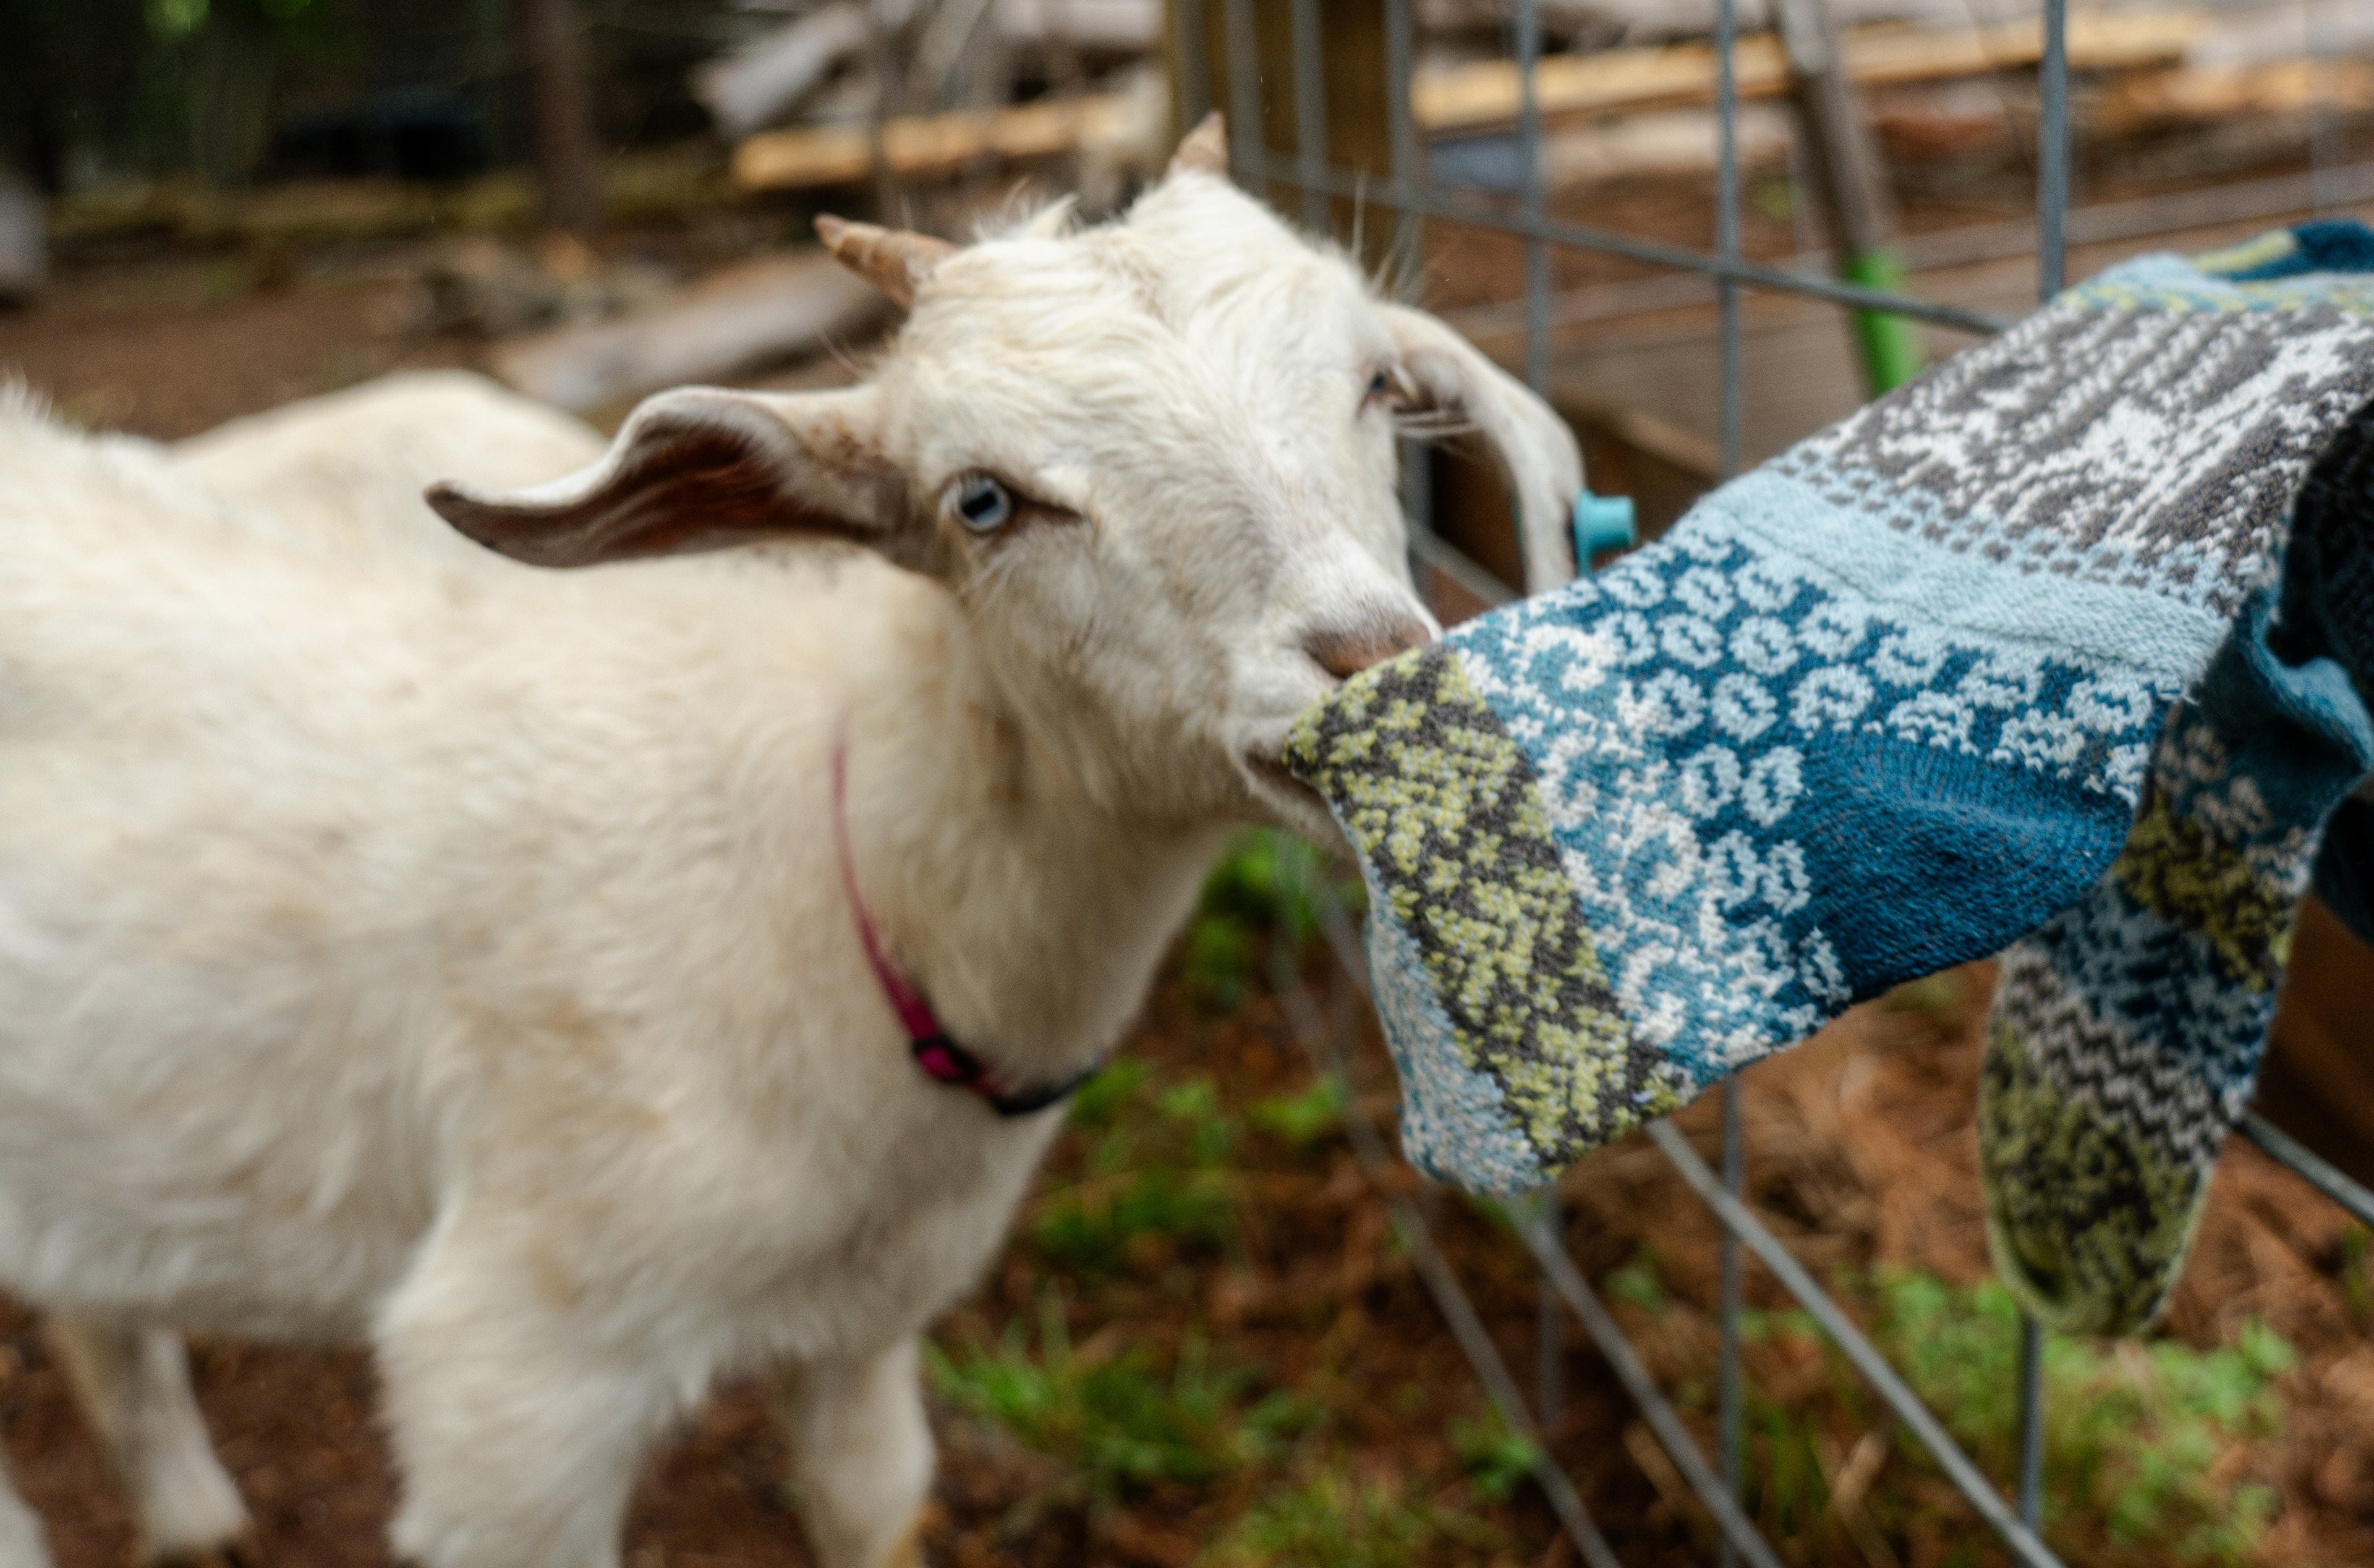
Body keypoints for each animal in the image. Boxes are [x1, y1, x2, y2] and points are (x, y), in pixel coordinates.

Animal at [0, 117, 1581, 1568]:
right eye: (983, 499)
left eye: (1377, 387)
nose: (1383, 683)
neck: (833, 876)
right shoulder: (513, 1372)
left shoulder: (870, 1322)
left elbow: (872, 1498)